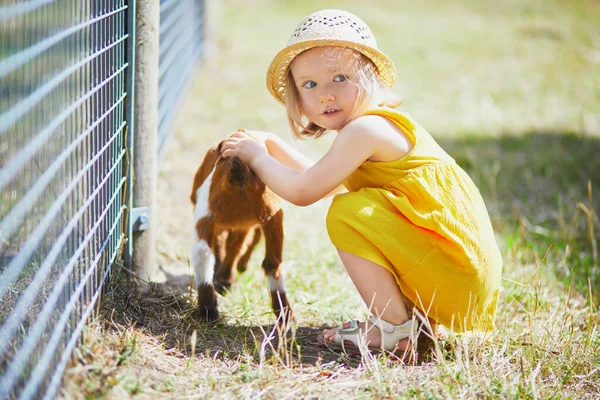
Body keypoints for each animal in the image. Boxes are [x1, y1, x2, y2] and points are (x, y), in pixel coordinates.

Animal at [189, 139, 290, 324]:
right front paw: (228, 276)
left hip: (206, 212)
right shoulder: (246, 224)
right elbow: (237, 244)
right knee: (272, 262)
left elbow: (231, 245)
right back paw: (285, 316)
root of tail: (240, 173)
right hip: (272, 214)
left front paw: (224, 277)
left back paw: (209, 310)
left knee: (203, 251)